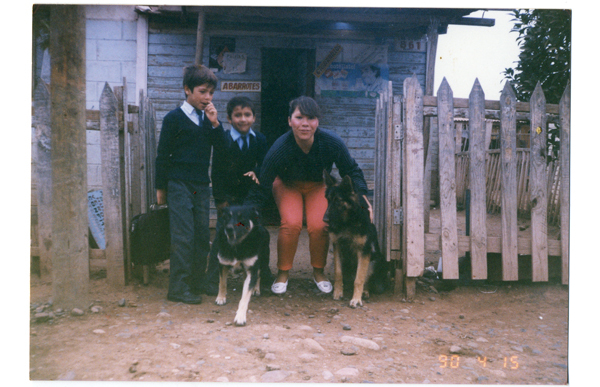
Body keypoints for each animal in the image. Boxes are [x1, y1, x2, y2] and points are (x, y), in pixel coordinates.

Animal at [326, 171, 386, 308]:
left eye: (338, 201)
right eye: (328, 200)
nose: (325, 219)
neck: (347, 223)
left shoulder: (363, 251)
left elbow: (359, 279)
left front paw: (356, 299)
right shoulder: (337, 247)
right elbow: (338, 274)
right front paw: (338, 292)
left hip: (373, 261)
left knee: (365, 279)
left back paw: (365, 292)